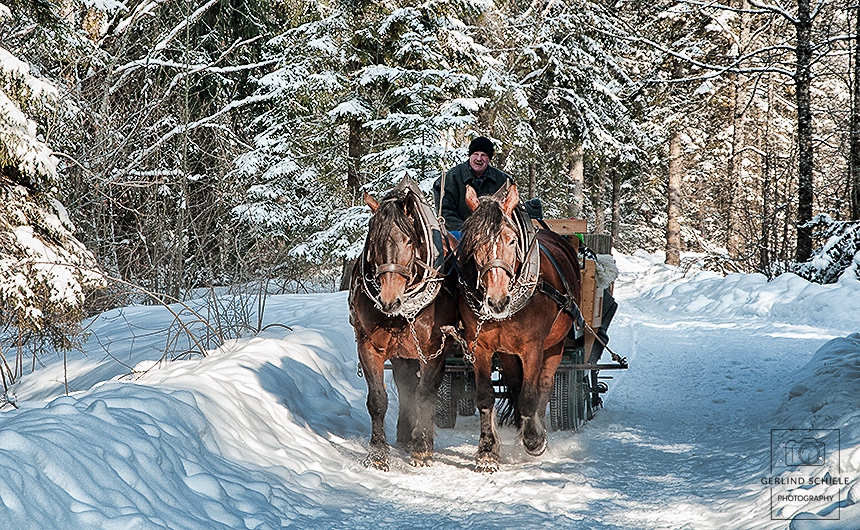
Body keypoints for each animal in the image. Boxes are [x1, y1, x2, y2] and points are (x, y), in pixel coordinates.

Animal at [348, 178, 460, 470]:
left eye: (409, 240)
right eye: (373, 240)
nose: (389, 300)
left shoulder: (433, 350)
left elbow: (425, 394)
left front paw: (422, 449)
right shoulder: (368, 346)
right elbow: (378, 399)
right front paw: (377, 454)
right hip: (402, 353)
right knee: (405, 385)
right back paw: (404, 435)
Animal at [456, 183, 584, 470]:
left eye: (512, 240)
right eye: (474, 242)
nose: (497, 301)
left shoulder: (532, 347)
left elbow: (529, 396)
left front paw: (534, 441)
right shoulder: (479, 346)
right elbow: (486, 397)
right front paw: (487, 451)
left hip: (556, 345)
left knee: (543, 387)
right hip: (507, 352)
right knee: (515, 384)